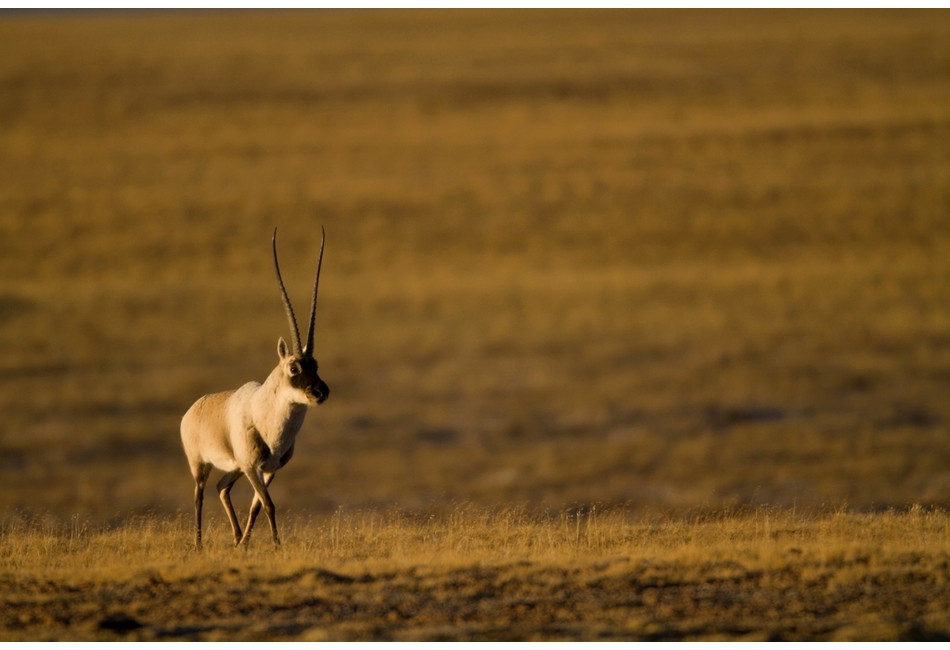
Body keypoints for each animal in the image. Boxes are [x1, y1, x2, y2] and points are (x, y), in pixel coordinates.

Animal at [181, 228, 330, 548]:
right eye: (294, 368)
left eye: (316, 364)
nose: (320, 392)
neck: (266, 415)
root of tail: (193, 409)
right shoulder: (252, 468)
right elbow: (269, 504)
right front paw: (276, 545)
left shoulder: (268, 469)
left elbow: (258, 506)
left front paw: (250, 544)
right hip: (200, 464)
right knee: (199, 496)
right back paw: (199, 545)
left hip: (234, 468)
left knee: (222, 487)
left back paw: (239, 539)